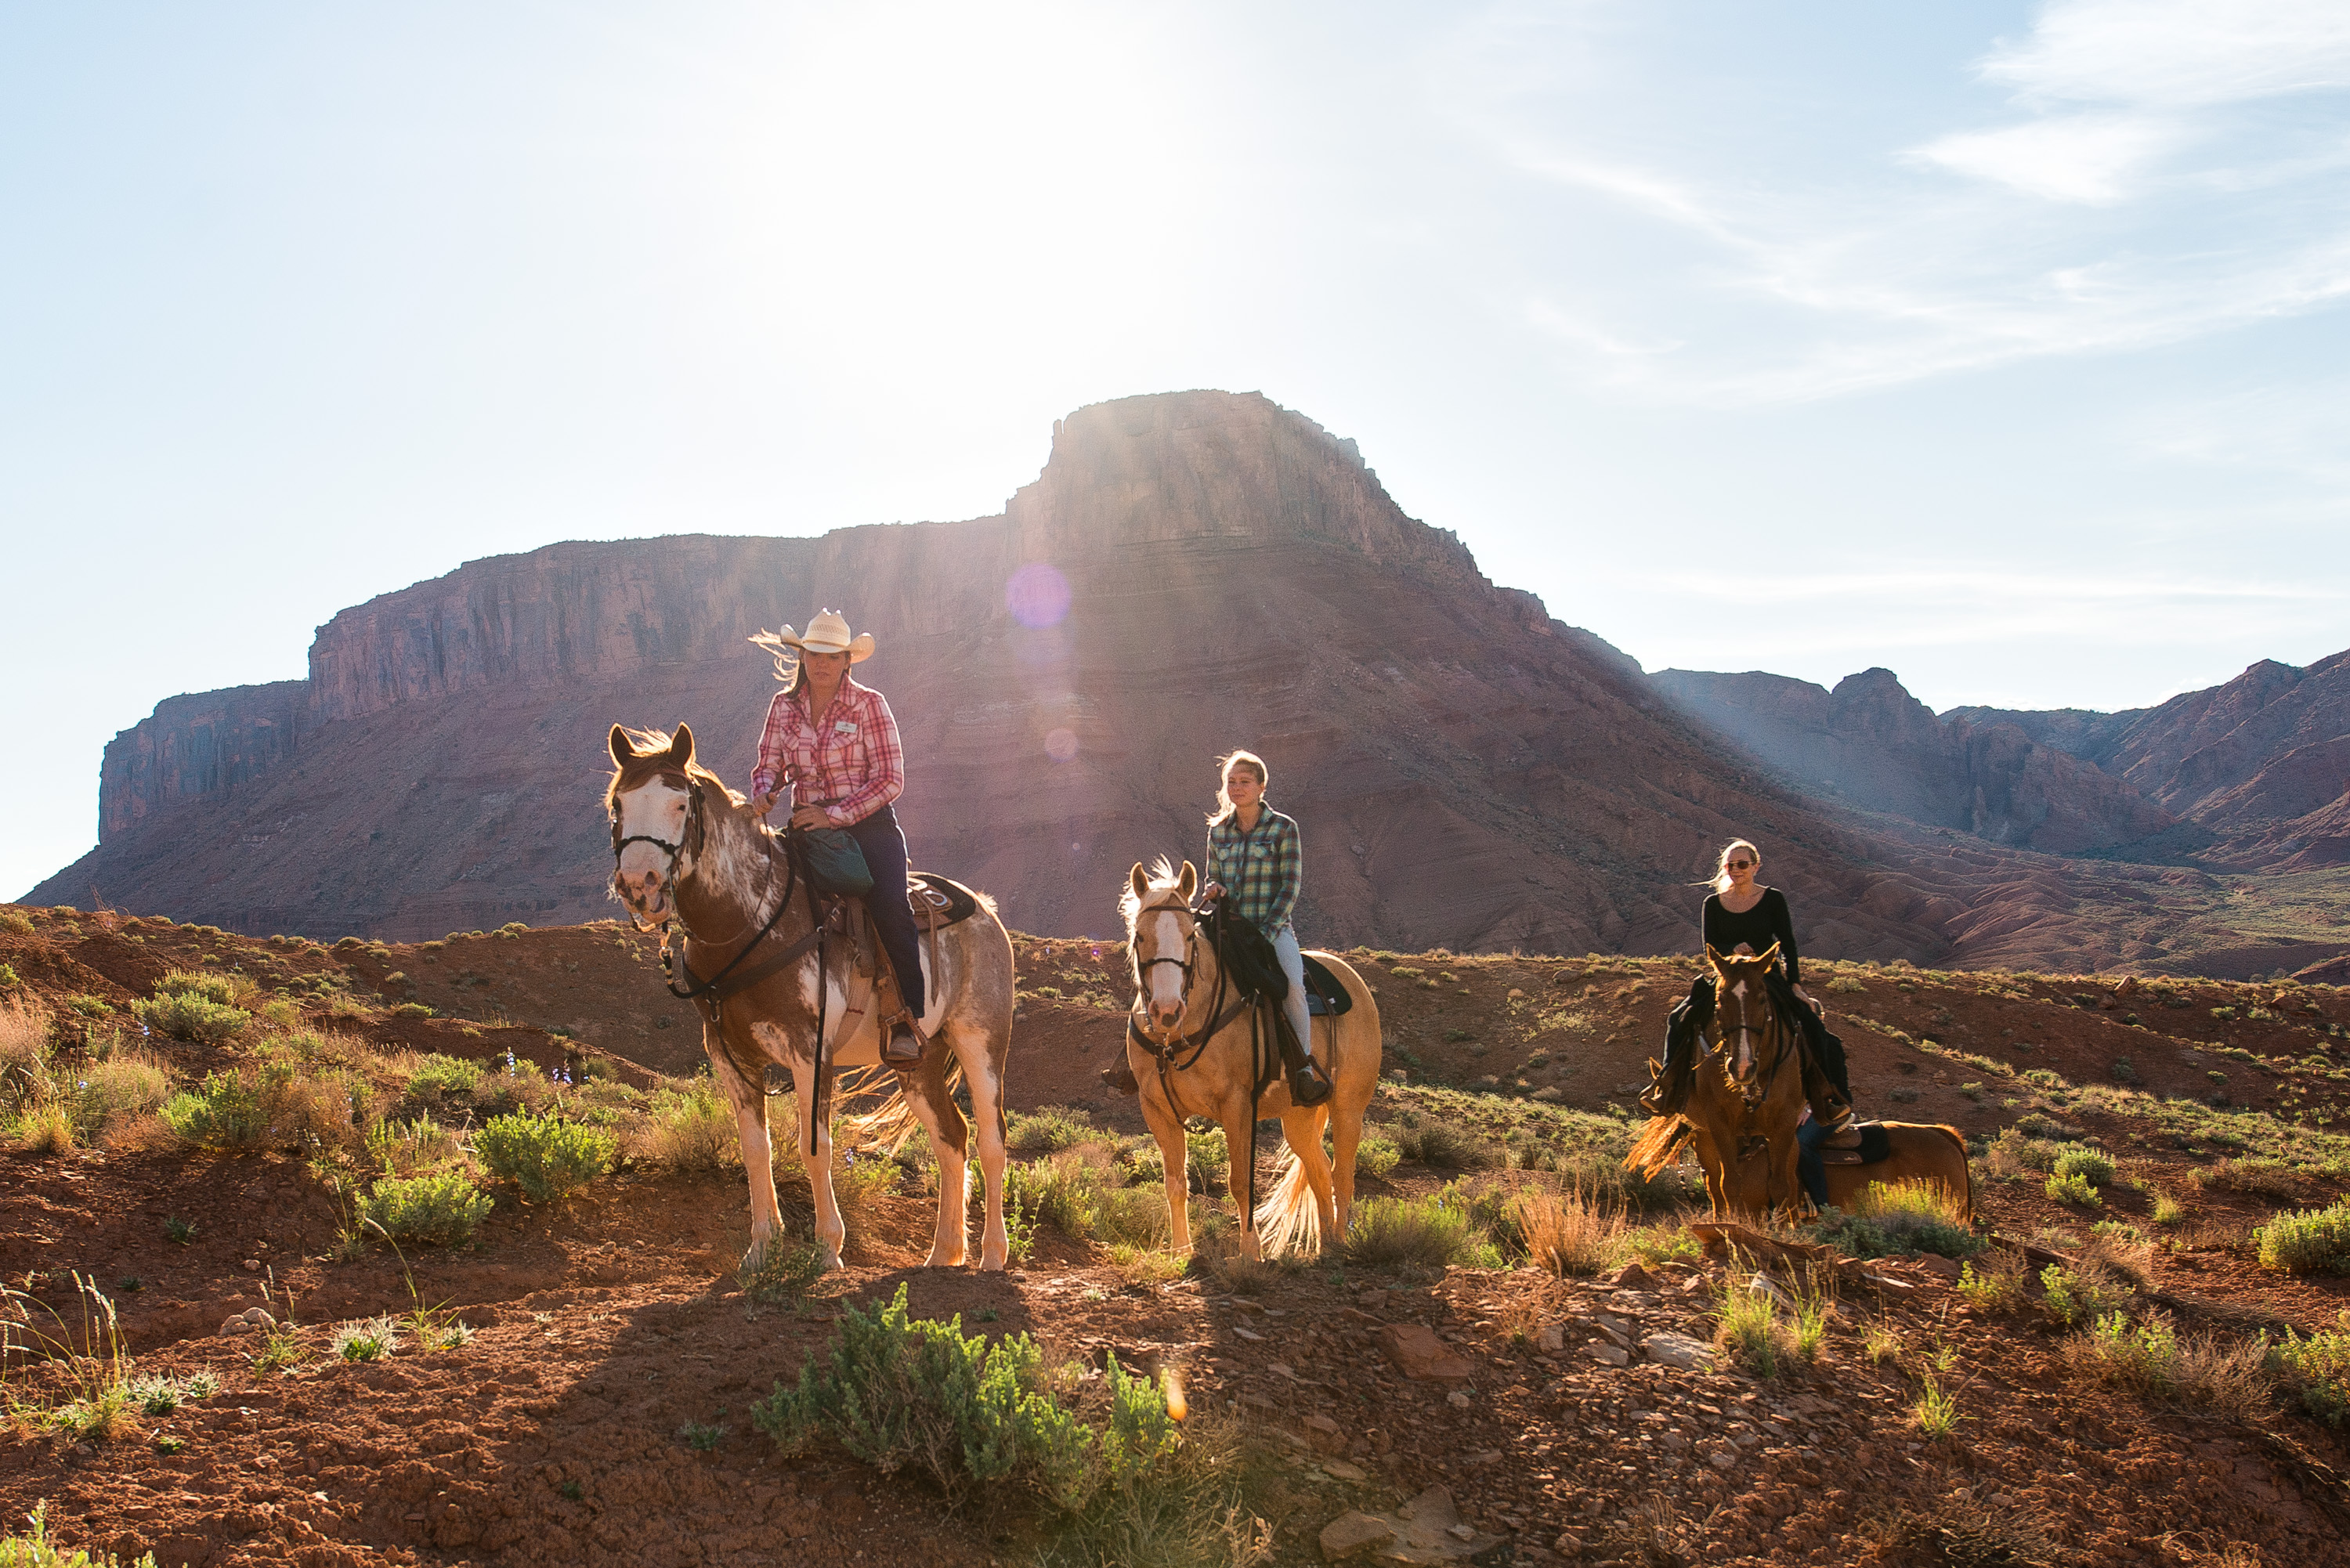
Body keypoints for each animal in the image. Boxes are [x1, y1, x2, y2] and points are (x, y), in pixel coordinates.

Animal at [602, 724, 1015, 1278]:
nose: (638, 885)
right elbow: (756, 1150)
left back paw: (992, 1254)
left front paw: (826, 1249)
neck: (747, 923)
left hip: (980, 1041)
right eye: (618, 805)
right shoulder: (730, 1056)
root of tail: (986, 913)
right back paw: (943, 1253)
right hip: (919, 1060)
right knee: (952, 1137)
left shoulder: (809, 1051)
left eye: (679, 804)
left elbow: (814, 1148)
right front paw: (761, 1249)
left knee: (992, 1140)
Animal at [1114, 860, 1372, 1259]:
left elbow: (1239, 1180)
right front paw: (1181, 1251)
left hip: (1349, 1107)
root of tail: (1355, 982)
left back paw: (1341, 1245)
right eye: (1139, 936)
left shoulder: (1237, 1104)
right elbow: (1175, 1182)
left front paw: (1250, 1252)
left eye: (1190, 937)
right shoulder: (1156, 1109)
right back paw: (1326, 1246)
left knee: (1342, 1174)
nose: (1167, 1011)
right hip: (1298, 1117)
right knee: (1319, 1170)